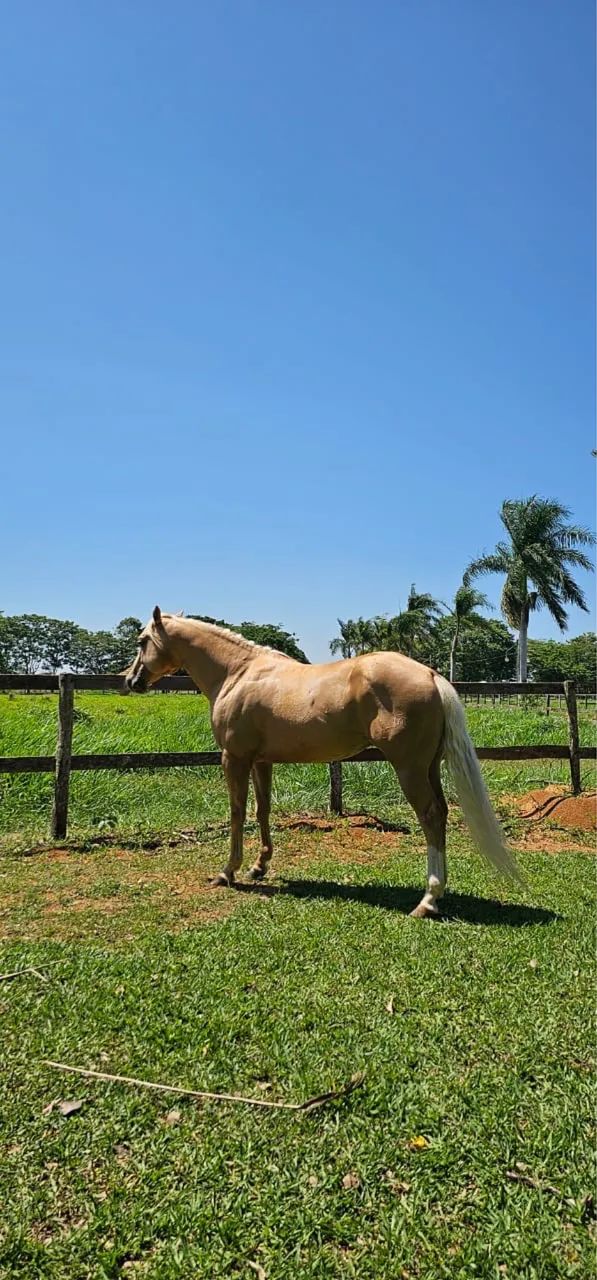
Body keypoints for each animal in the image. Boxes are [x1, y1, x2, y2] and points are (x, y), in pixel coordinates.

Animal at [125, 607, 523, 917]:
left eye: (143, 640)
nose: (131, 681)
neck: (238, 673)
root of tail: (431, 674)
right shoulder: (261, 761)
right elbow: (262, 810)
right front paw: (259, 866)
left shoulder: (234, 758)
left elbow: (237, 812)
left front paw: (228, 872)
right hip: (428, 768)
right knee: (441, 812)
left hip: (409, 769)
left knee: (430, 816)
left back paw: (427, 900)